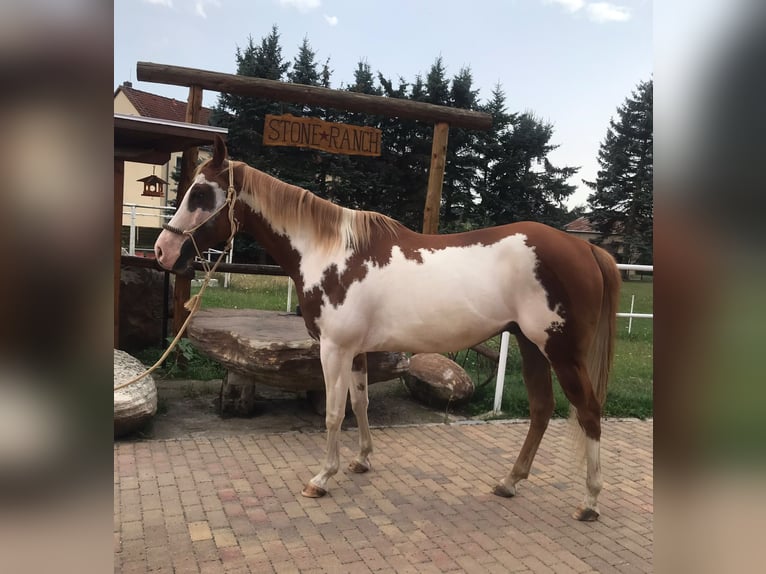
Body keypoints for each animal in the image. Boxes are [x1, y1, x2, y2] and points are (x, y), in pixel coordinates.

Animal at [154, 135, 621, 521]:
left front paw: (321, 478)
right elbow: (359, 405)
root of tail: (586, 248)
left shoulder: (334, 349)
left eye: (200, 193)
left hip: (562, 352)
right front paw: (361, 460)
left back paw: (590, 501)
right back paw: (509, 482)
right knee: (542, 409)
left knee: (589, 412)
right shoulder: (357, 351)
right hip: (530, 345)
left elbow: (333, 413)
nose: (163, 251)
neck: (331, 252)